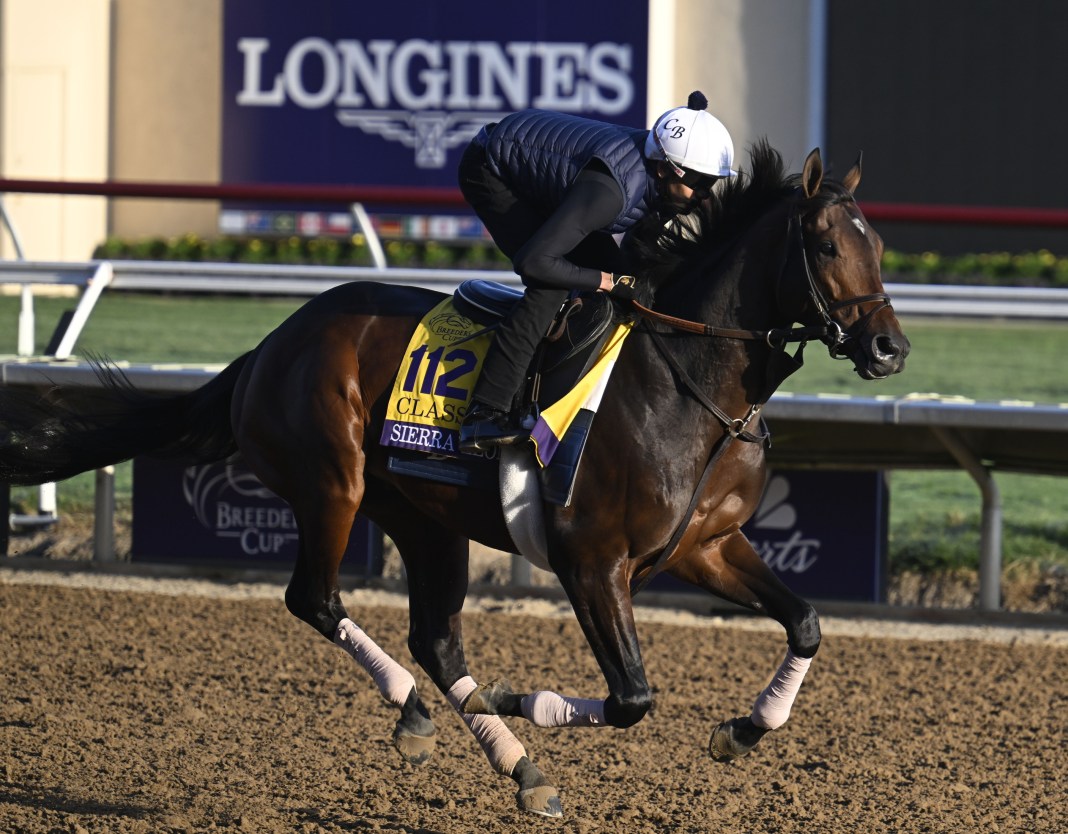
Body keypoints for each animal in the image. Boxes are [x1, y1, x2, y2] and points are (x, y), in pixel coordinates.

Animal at [0, 142, 909, 811]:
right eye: (827, 244)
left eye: (879, 246)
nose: (890, 348)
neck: (687, 379)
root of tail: (267, 346)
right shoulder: (590, 560)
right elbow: (632, 698)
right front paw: (519, 699)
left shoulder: (706, 546)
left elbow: (806, 623)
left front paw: (743, 731)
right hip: (332, 486)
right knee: (316, 600)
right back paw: (420, 711)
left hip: (424, 519)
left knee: (434, 637)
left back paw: (515, 764)